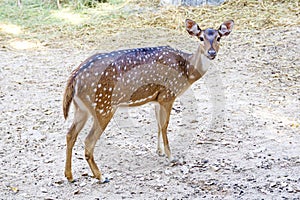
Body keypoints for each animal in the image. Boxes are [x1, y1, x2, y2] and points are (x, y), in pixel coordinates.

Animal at [62, 18, 233, 183]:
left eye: (218, 38)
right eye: (201, 38)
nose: (211, 52)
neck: (186, 70)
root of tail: (75, 77)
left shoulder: (156, 99)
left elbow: (157, 124)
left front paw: (159, 151)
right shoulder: (167, 95)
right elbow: (164, 126)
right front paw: (171, 156)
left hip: (82, 108)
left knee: (70, 134)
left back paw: (70, 176)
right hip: (103, 106)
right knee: (88, 140)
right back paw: (101, 176)